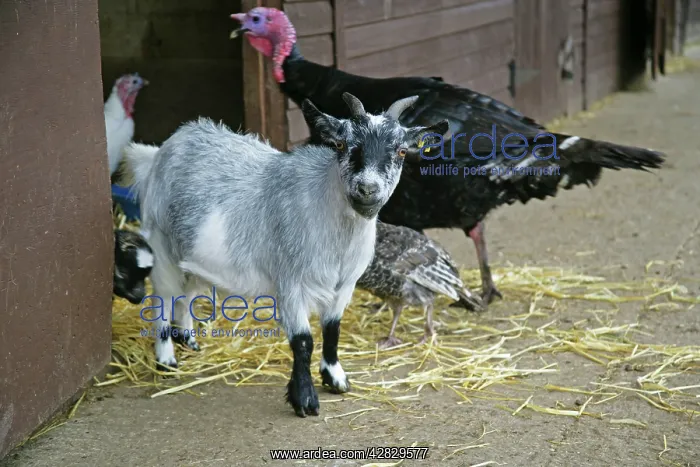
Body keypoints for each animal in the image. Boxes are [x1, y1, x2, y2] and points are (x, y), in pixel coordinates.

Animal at [124, 93, 449, 417]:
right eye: (341, 145)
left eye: (402, 151)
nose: (367, 188)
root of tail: (159, 154)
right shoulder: (290, 281)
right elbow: (303, 341)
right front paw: (304, 400)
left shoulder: (344, 285)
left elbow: (332, 329)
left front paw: (336, 379)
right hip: (161, 245)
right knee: (163, 299)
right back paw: (166, 360)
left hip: (192, 254)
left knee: (186, 294)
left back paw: (189, 341)